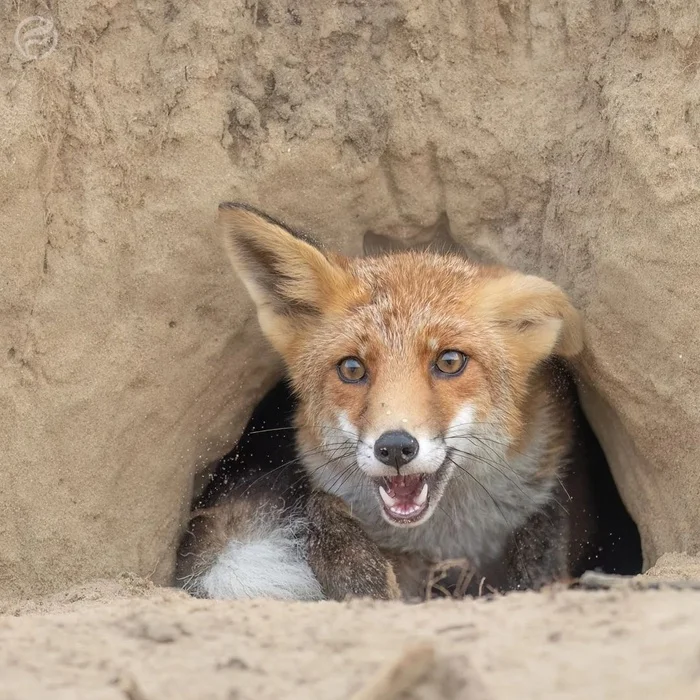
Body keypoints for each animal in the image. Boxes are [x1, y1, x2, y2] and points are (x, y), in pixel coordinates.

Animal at [176, 202, 600, 600]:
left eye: (450, 361)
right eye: (352, 368)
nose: (395, 447)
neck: (445, 537)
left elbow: (539, 548)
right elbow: (323, 514)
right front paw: (364, 579)